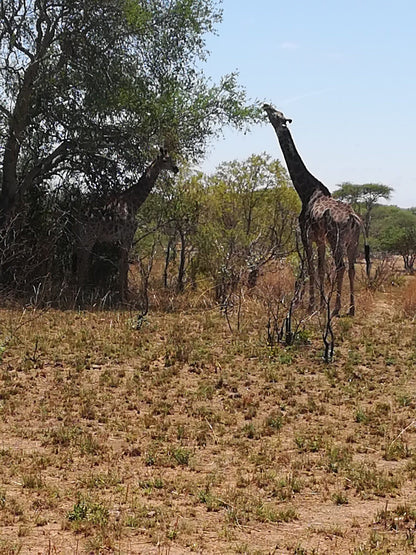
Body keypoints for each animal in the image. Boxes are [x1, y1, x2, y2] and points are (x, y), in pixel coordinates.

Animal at [74, 148, 178, 300]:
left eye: (171, 158)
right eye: (165, 160)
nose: (176, 169)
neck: (134, 203)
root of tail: (78, 219)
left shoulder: (123, 238)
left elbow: (123, 264)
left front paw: (124, 293)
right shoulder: (128, 236)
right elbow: (124, 265)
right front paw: (123, 296)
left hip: (82, 238)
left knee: (80, 261)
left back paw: (79, 289)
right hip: (89, 238)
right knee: (83, 261)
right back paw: (81, 293)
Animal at [264, 101, 368, 314]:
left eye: (277, 114)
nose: (265, 105)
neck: (306, 192)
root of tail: (353, 218)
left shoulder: (306, 234)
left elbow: (310, 268)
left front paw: (311, 305)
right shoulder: (320, 239)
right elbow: (320, 269)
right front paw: (320, 305)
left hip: (337, 239)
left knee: (340, 266)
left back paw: (336, 308)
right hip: (353, 241)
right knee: (352, 268)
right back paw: (351, 308)